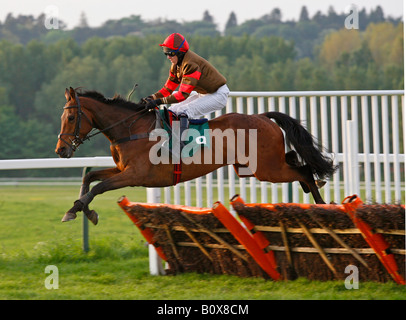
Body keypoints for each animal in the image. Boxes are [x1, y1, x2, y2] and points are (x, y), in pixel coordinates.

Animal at [55, 86, 338, 224]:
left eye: (71, 117)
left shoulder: (135, 175)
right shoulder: (122, 169)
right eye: (62, 117)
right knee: (295, 162)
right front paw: (77, 210)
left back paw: (322, 203)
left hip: (266, 169)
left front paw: (79, 209)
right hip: (254, 166)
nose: (61, 150)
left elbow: (99, 186)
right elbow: (89, 177)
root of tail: (261, 116)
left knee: (302, 170)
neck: (130, 130)